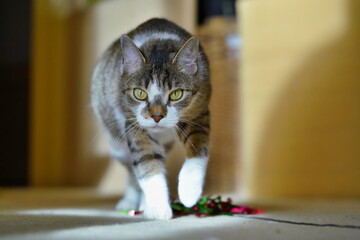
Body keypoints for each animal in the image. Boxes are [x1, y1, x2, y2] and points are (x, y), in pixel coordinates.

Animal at [90, 18, 211, 219]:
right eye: (139, 93)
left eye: (176, 94)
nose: (156, 116)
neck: (159, 42)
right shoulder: (134, 124)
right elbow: (147, 162)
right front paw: (158, 208)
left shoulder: (199, 110)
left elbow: (197, 147)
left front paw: (189, 192)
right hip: (117, 146)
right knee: (132, 169)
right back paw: (131, 201)